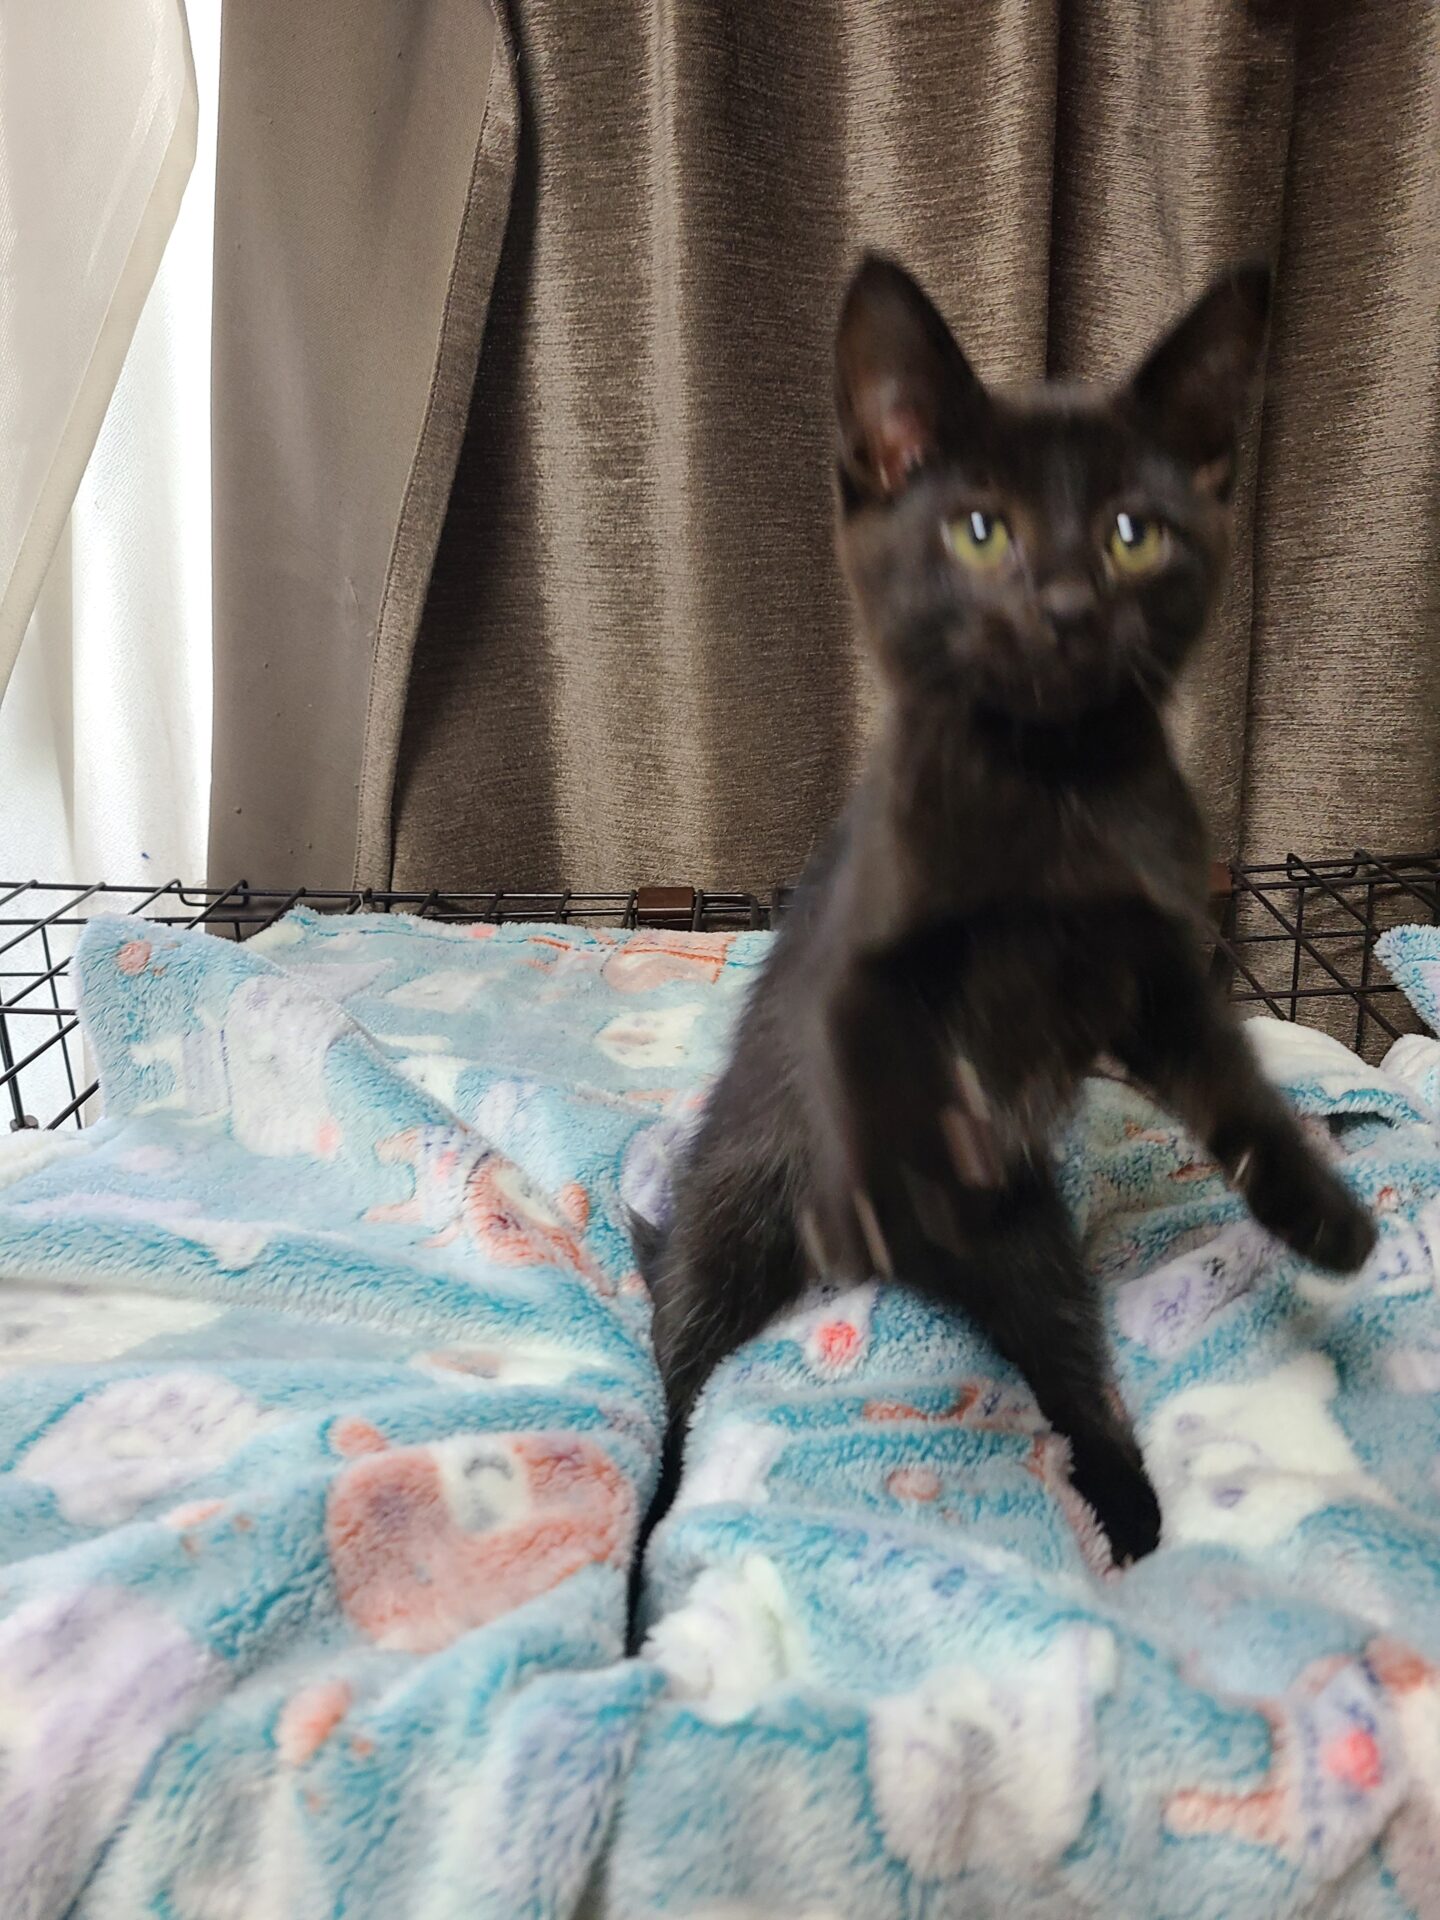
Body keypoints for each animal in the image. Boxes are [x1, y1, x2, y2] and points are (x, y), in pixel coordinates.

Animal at [638, 254, 1376, 1566]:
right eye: (981, 531)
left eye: (1134, 534)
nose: (1070, 604)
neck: (1051, 789)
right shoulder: (862, 954)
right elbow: (884, 1061)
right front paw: (884, 1188)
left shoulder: (1155, 968)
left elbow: (1232, 1082)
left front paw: (1320, 1211)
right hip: (724, 1223)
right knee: (681, 1374)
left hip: (1041, 1262)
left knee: (1074, 1380)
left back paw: (1131, 1518)